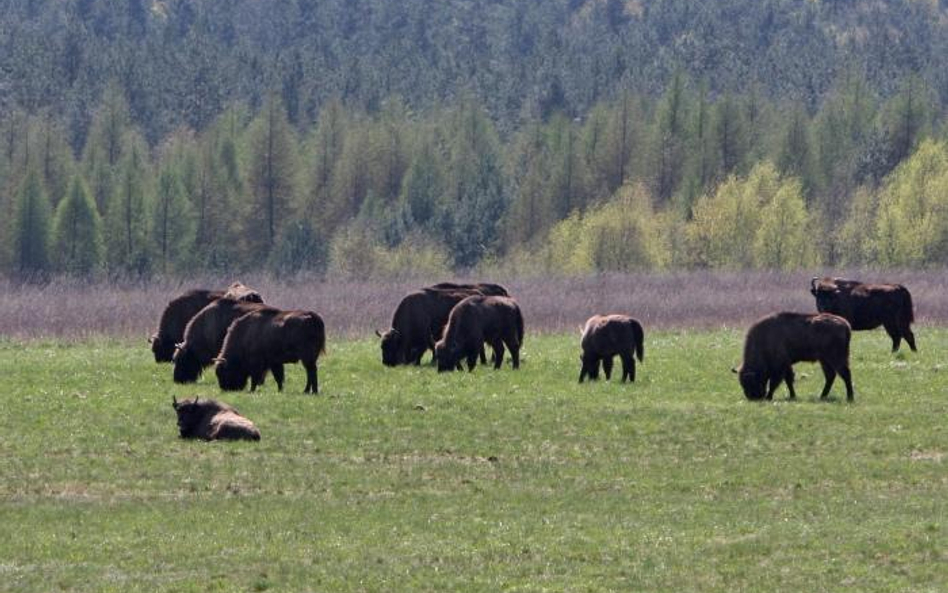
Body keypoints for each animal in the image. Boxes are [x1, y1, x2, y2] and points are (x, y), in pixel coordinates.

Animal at [728, 310, 856, 402]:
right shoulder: (786, 365)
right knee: (831, 376)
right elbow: (788, 380)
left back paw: (849, 397)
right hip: (824, 360)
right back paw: (822, 396)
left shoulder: (779, 366)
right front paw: (792, 396)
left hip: (836, 358)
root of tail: (846, 325)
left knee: (845, 374)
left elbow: (775, 382)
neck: (764, 338)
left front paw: (769, 397)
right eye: (742, 383)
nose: (753, 397)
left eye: (751, 382)